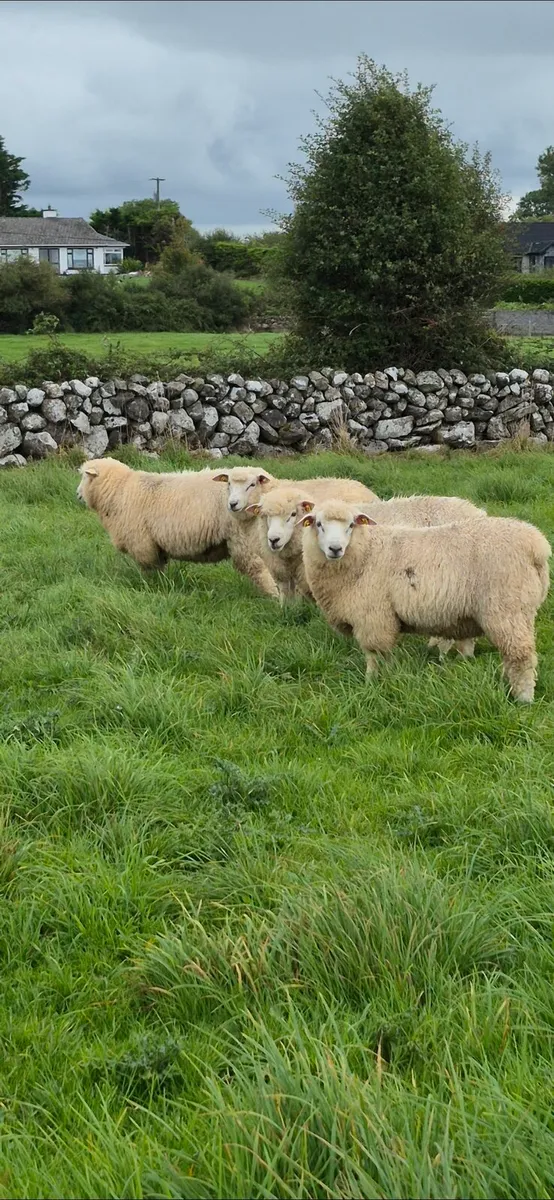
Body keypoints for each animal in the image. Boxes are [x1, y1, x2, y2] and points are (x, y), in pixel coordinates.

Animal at [77, 457, 280, 596]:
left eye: (85, 477)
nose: (77, 494)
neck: (119, 491)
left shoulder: (142, 544)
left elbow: (149, 571)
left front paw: (150, 587)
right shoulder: (155, 547)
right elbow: (160, 569)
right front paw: (161, 585)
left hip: (245, 538)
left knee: (259, 569)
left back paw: (273, 597)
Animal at [300, 499, 550, 702]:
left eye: (351, 525)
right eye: (318, 524)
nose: (335, 548)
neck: (366, 553)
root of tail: (536, 544)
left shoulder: (373, 617)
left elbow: (375, 655)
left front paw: (373, 684)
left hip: (507, 609)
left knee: (521, 656)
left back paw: (523, 699)